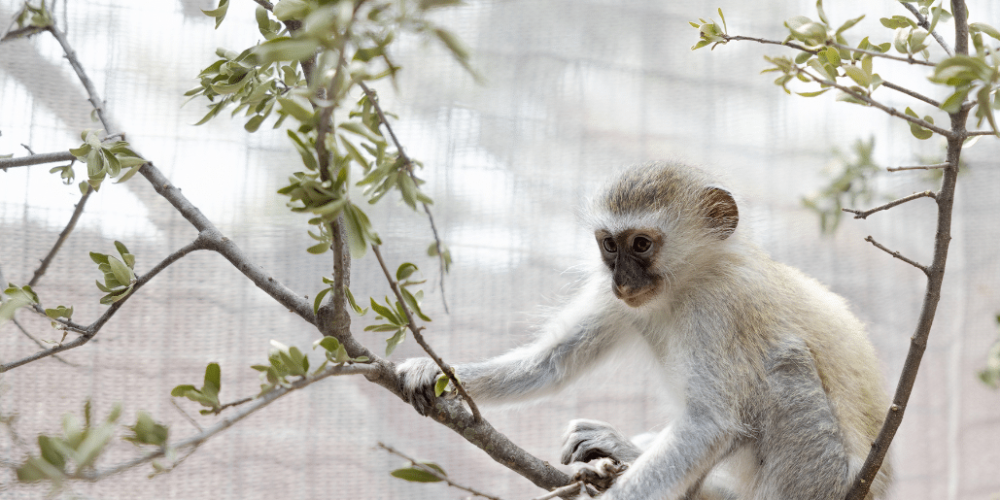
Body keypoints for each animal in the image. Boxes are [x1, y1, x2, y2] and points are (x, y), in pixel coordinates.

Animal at [396, 162, 892, 498]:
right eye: (609, 246)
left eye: (640, 244)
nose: (622, 281)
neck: (686, 283)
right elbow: (551, 363)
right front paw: (431, 369)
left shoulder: (719, 304)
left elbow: (709, 424)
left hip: (824, 477)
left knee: (786, 362)